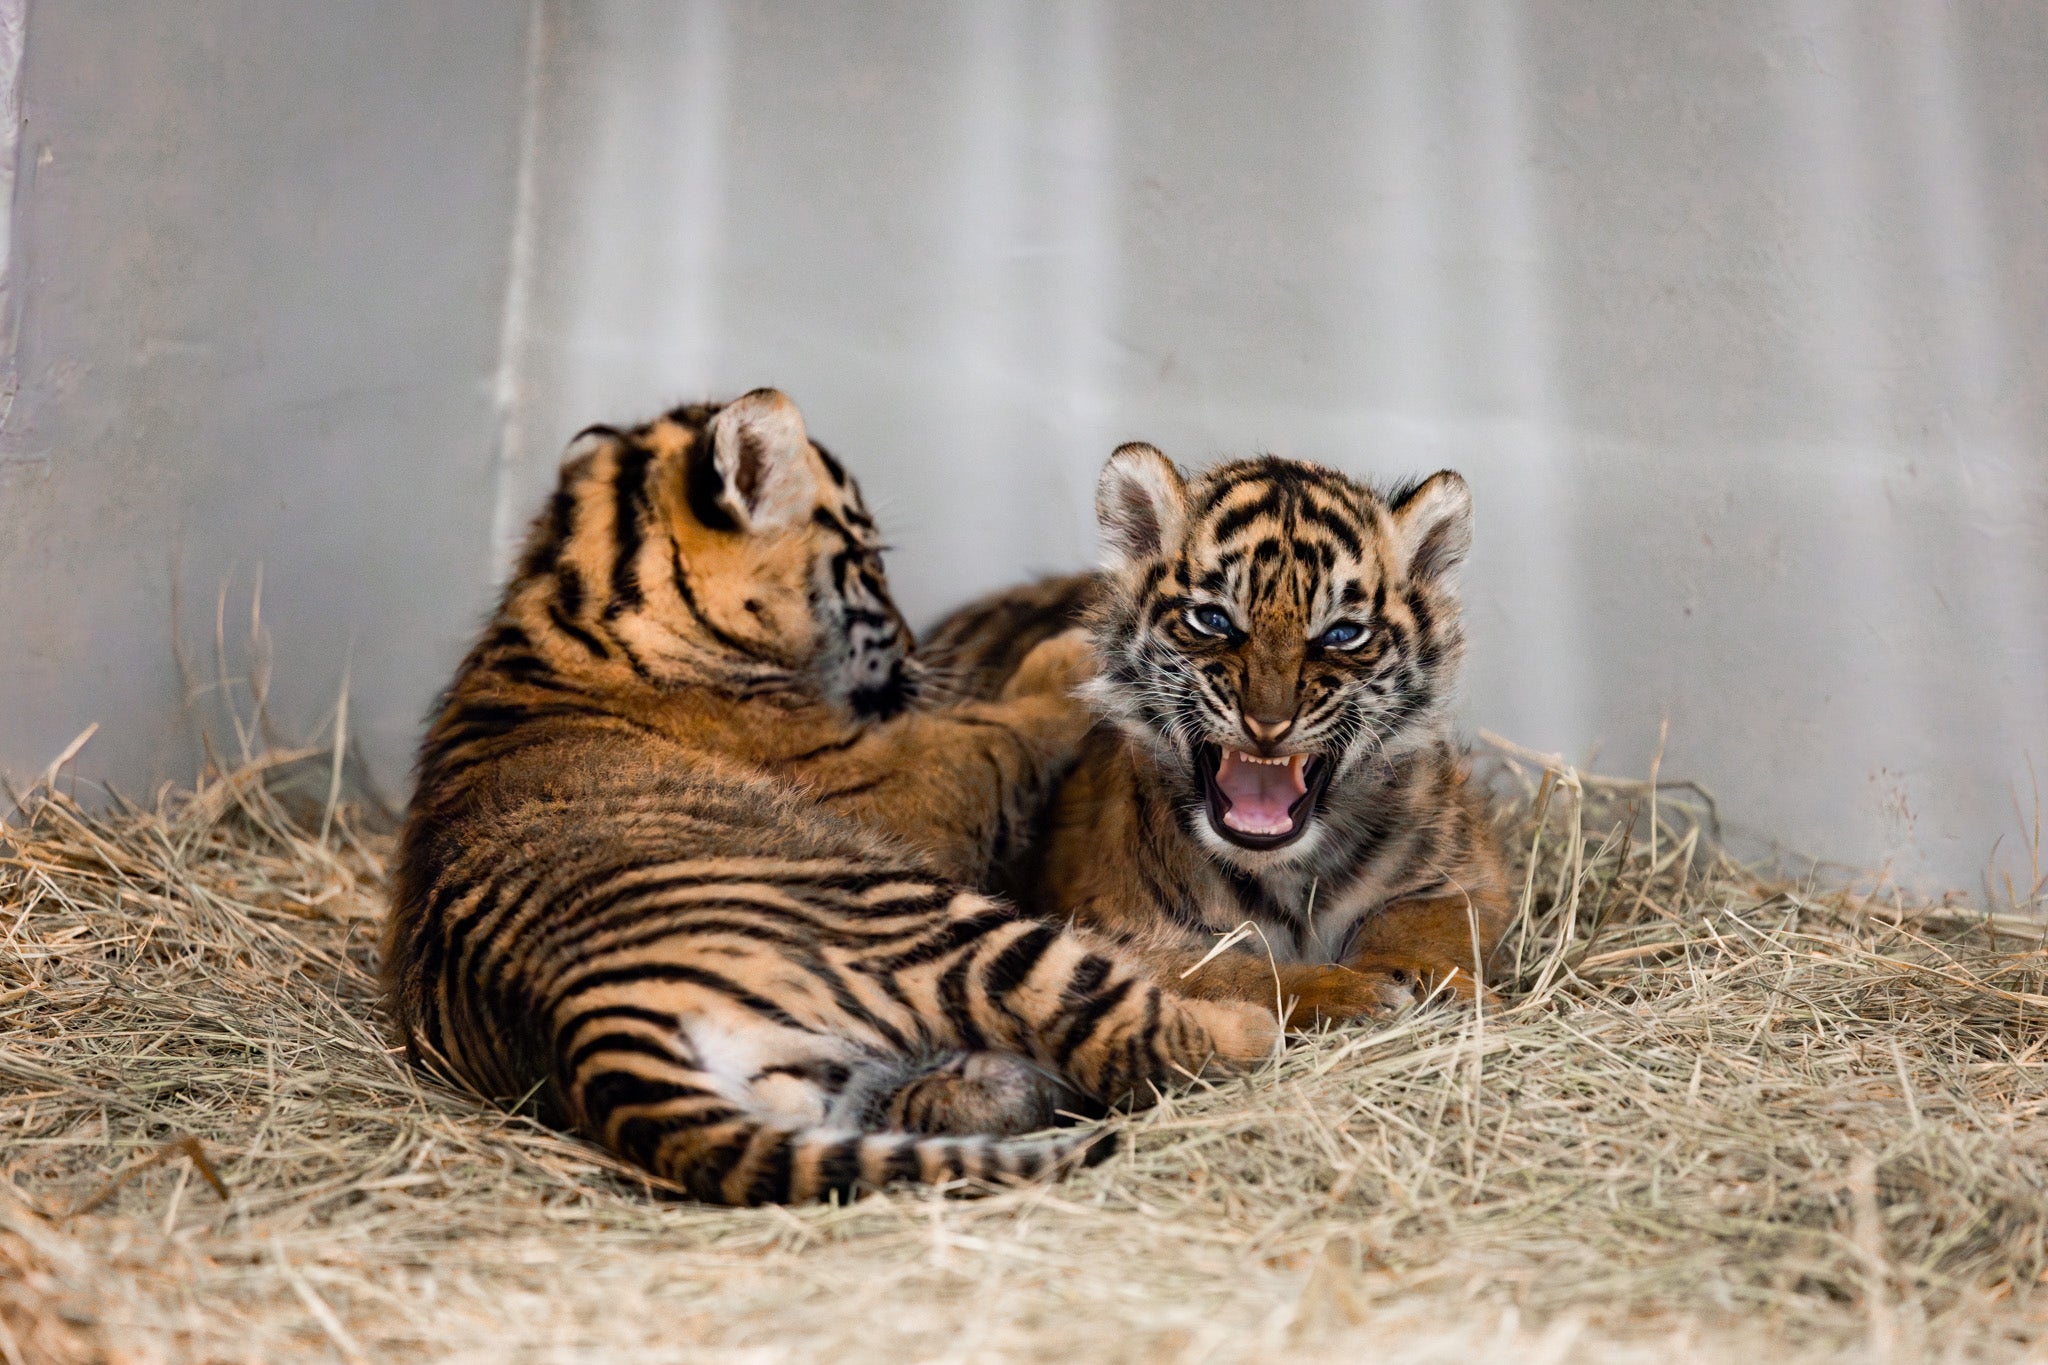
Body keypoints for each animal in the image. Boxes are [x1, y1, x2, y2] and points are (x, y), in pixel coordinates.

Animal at [382, 391, 1279, 1207]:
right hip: (927, 919)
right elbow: (994, 729)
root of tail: (585, 1019)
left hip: (820, 1086)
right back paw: (1253, 1029)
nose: (915, 649)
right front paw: (1071, 653)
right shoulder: (898, 780)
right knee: (1121, 1028)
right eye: (870, 563)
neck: (575, 590)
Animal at [925, 443, 1512, 1027]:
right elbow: (1237, 975)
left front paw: (1442, 987)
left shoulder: (1467, 874)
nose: (1268, 723)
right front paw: (1355, 993)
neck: (1289, 875)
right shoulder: (1114, 932)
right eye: (1214, 620)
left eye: (1342, 633)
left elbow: (1424, 929)